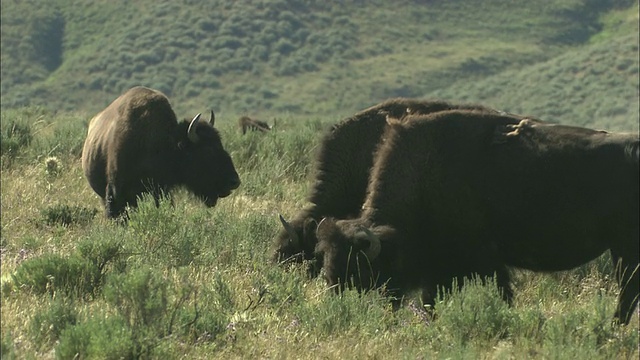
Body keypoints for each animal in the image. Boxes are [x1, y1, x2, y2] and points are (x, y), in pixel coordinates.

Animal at [316, 109, 640, 324]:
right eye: (329, 264)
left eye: (359, 270)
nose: (338, 302)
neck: (424, 176)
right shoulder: (442, 270)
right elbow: (432, 300)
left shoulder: (484, 261)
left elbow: (499, 292)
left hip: (624, 247)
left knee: (628, 289)